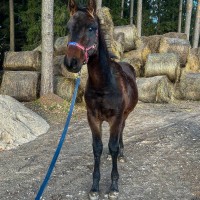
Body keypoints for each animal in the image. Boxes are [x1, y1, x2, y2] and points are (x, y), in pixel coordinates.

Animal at [64, 0, 138, 199]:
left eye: (92, 28)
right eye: (68, 28)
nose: (71, 63)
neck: (104, 84)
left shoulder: (116, 117)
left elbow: (112, 146)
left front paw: (113, 186)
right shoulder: (93, 118)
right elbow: (97, 148)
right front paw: (95, 187)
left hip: (124, 115)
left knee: (121, 132)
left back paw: (121, 153)